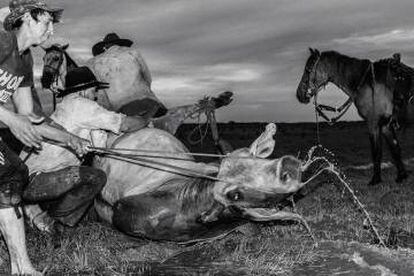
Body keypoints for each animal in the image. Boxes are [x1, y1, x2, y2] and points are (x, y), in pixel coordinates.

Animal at [296, 48, 410, 185]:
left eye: (308, 69)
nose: (299, 94)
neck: (368, 83)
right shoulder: (385, 125)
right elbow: (395, 148)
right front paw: (401, 176)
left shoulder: (373, 122)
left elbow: (376, 151)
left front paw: (375, 180)